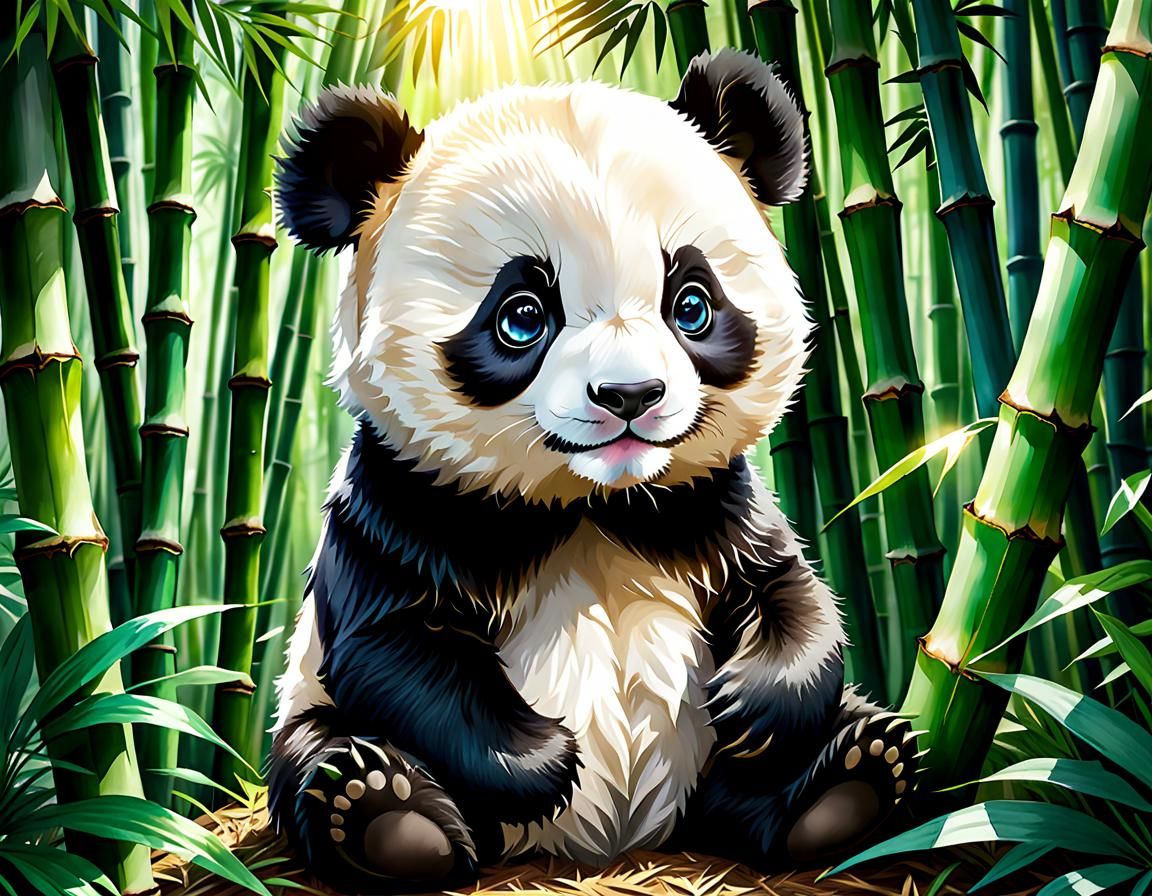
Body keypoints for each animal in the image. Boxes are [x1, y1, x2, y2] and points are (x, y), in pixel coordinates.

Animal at [268, 49, 918, 895]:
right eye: (521, 316)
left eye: (692, 304)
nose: (630, 395)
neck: (593, 505)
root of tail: (621, 843)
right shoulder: (401, 504)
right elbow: (399, 649)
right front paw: (545, 758)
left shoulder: (712, 504)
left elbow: (787, 591)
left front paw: (754, 704)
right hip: (309, 703)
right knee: (319, 752)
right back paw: (389, 818)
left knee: (780, 772)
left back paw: (847, 782)